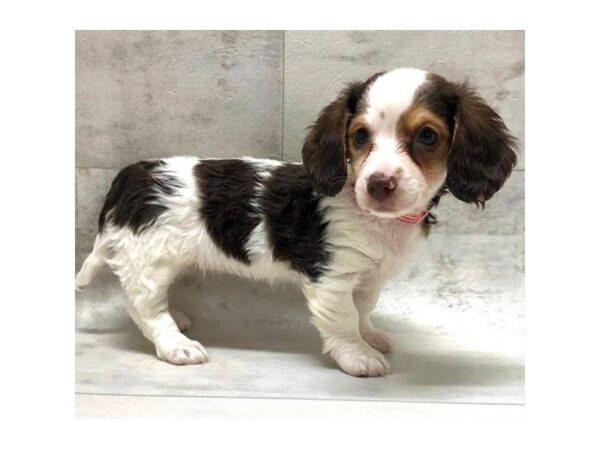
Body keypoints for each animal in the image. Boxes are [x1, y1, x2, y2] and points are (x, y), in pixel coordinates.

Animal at [74, 67, 516, 376]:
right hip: (149, 259)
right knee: (145, 307)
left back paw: (178, 317)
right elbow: (343, 320)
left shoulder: (369, 276)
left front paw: (369, 334)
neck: (373, 217)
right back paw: (176, 343)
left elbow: (364, 308)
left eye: (427, 136)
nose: (379, 183)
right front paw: (358, 355)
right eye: (359, 136)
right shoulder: (333, 277)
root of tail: (133, 175)